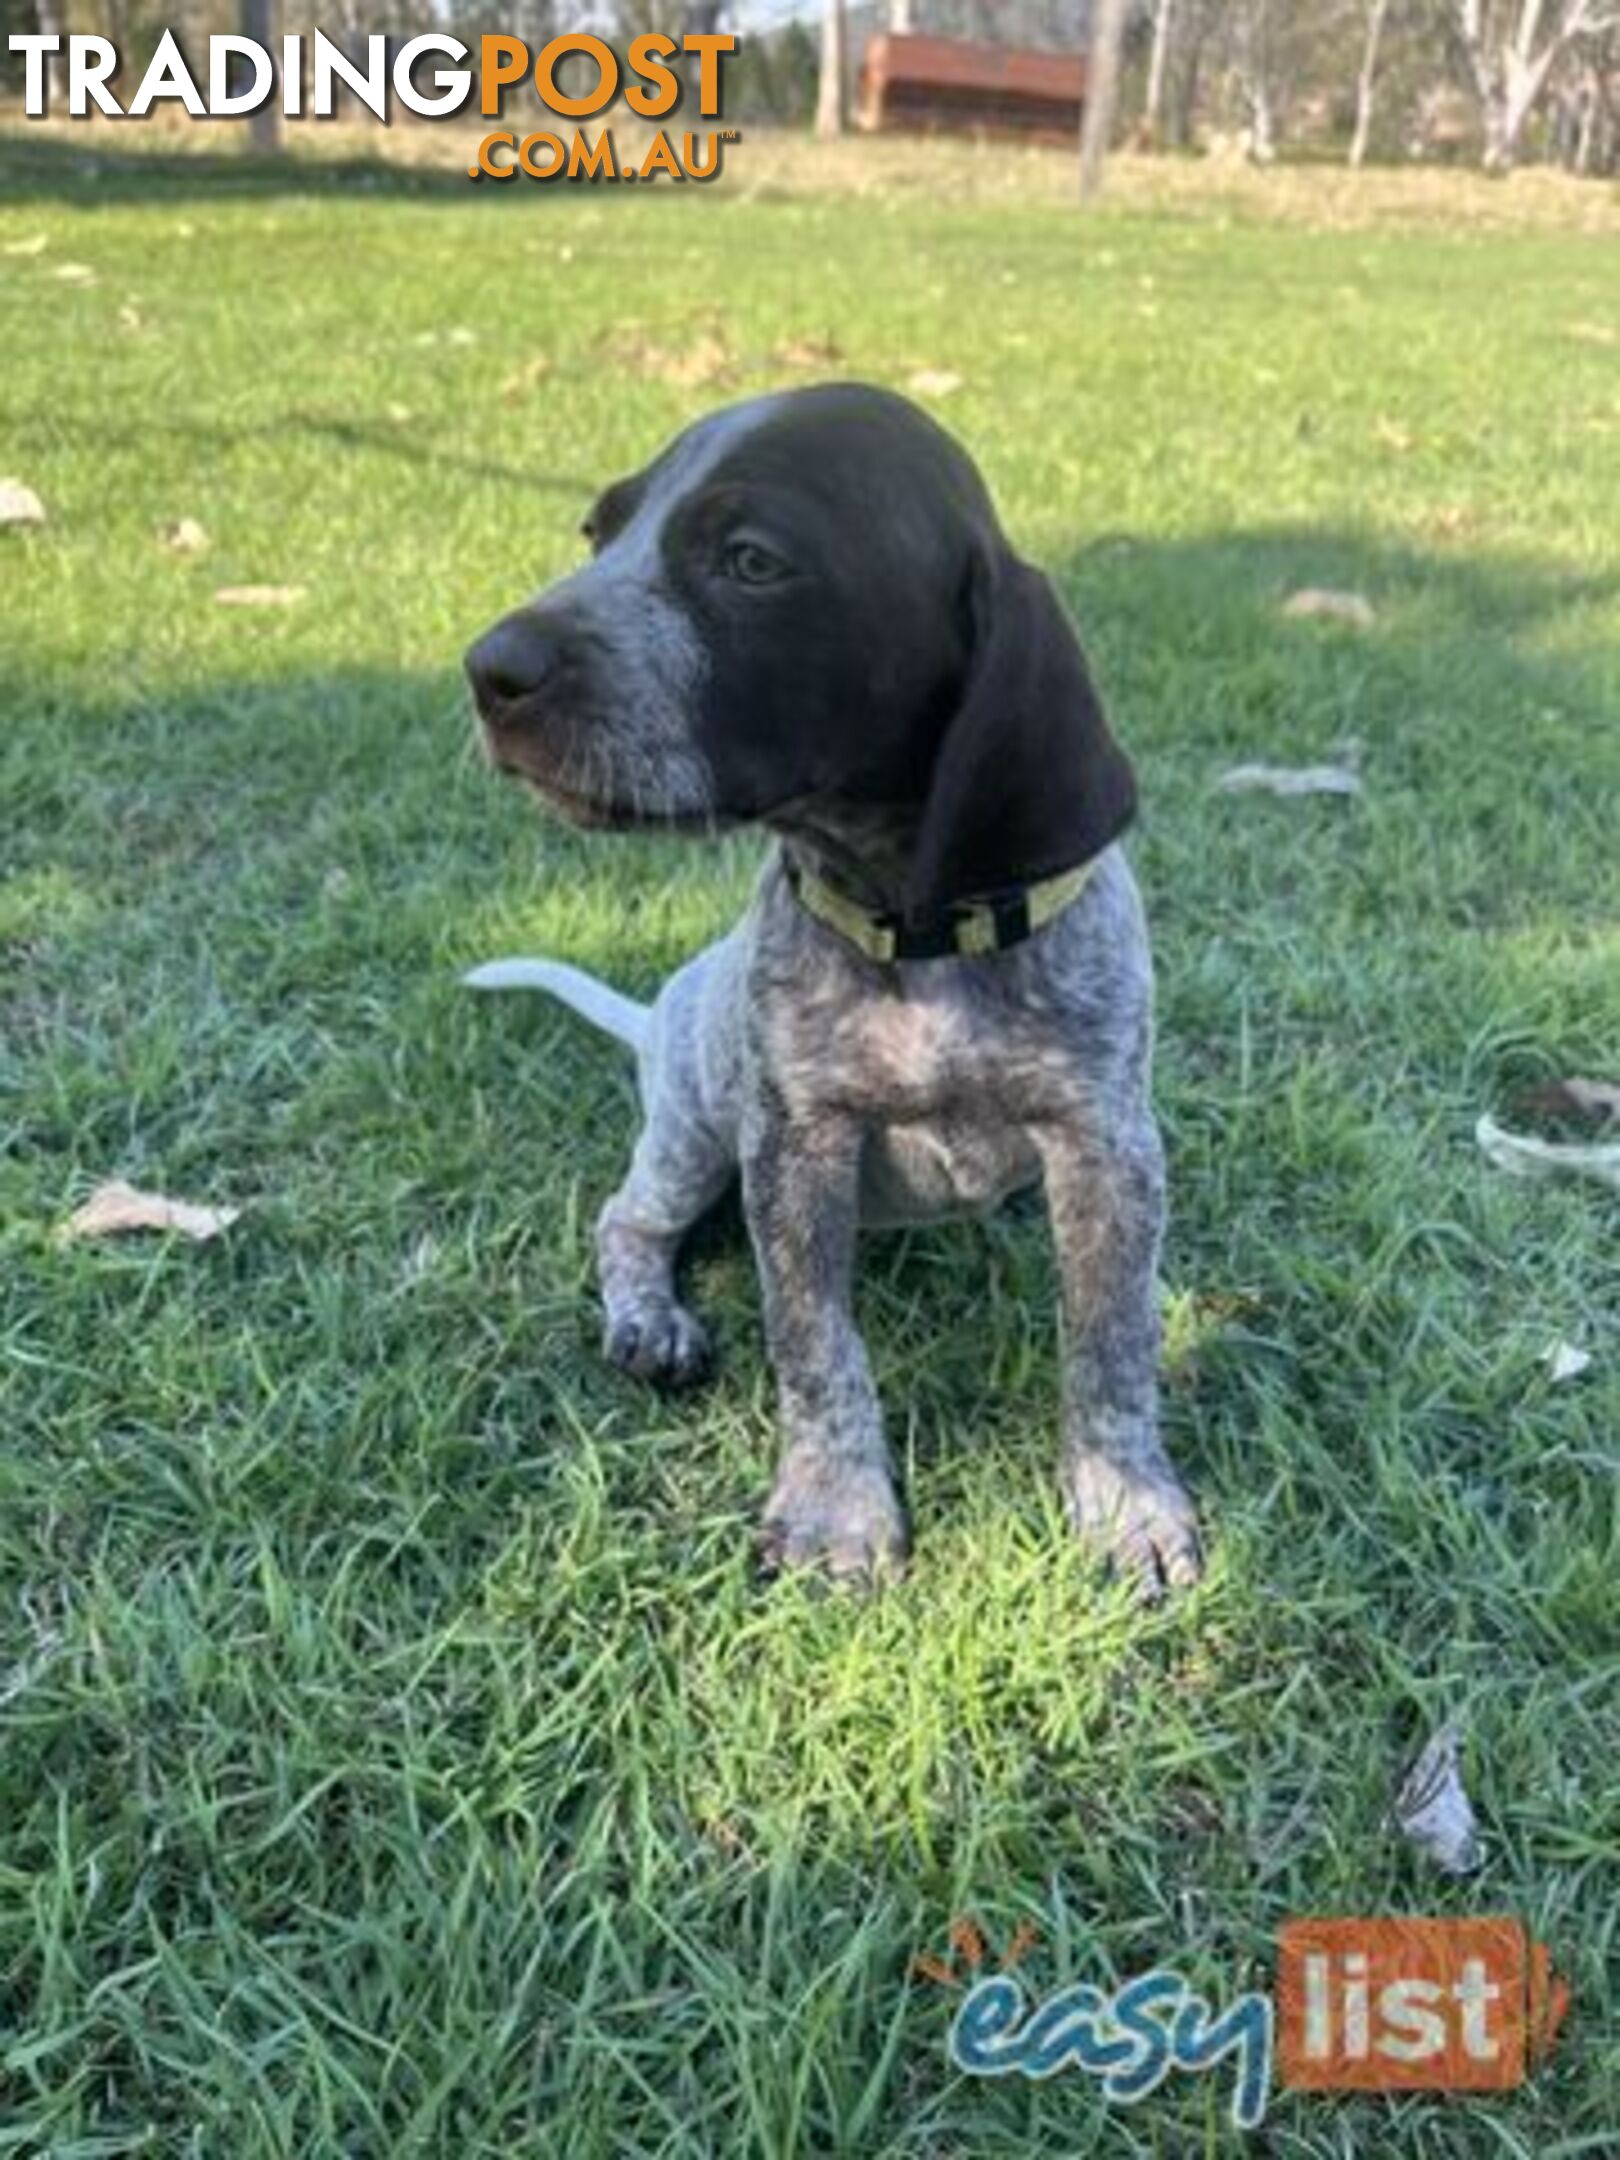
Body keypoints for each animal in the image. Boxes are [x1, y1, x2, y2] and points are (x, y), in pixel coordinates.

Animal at [462, 384, 1200, 1607]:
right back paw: (650, 1319)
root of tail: (654, 1016)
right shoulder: (793, 1148)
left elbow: (1111, 1340)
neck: (918, 930)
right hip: (691, 1131)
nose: (488, 668)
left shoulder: (1108, 1148)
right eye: (597, 534)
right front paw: (836, 1510)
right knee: (627, 1221)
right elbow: (815, 1346)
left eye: (752, 562)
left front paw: (1125, 1497)